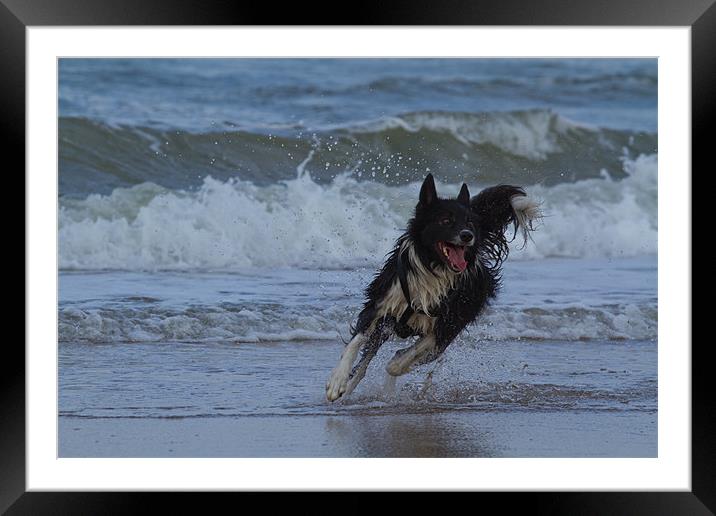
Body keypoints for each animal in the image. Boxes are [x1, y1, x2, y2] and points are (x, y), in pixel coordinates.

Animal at [324, 173, 536, 404]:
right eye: (445, 220)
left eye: (469, 222)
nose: (468, 235)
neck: (433, 267)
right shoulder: (380, 305)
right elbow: (356, 342)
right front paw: (337, 381)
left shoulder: (447, 325)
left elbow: (402, 360)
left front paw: (395, 365)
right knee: (365, 363)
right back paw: (350, 386)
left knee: (412, 356)